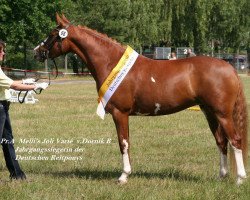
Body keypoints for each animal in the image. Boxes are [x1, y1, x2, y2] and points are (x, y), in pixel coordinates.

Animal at [34, 14, 247, 184]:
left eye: (52, 34)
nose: (37, 51)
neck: (111, 62)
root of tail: (229, 68)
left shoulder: (120, 113)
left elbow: (123, 142)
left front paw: (123, 176)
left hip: (222, 114)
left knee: (235, 140)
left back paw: (239, 179)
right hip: (209, 112)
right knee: (221, 141)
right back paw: (221, 176)